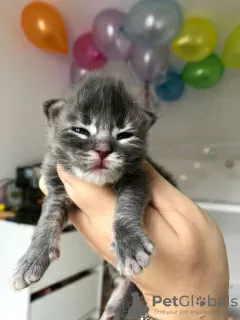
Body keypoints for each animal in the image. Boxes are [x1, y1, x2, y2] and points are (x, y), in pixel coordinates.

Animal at [11, 73, 175, 320]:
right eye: (80, 130)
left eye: (125, 135)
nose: (103, 150)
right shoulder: (57, 187)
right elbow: (47, 220)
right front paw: (32, 258)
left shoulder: (138, 178)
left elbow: (127, 206)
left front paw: (131, 245)